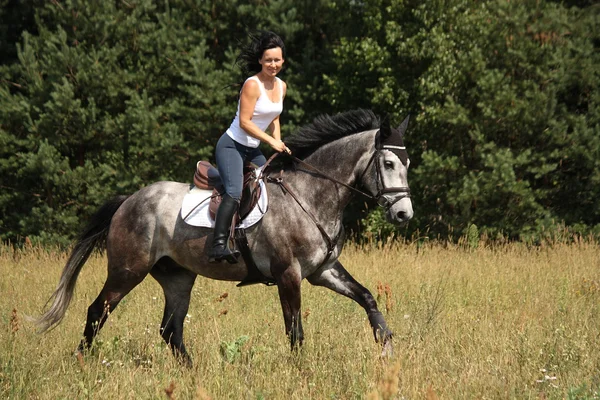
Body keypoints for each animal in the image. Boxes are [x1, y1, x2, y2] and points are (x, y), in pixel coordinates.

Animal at [37, 108, 412, 364]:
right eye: (389, 164)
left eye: (407, 164)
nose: (404, 214)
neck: (310, 195)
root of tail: (128, 200)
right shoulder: (288, 274)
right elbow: (294, 330)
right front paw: (300, 370)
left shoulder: (323, 271)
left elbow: (367, 298)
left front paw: (387, 347)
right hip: (127, 271)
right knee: (97, 311)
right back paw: (82, 362)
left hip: (177, 277)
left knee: (170, 329)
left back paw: (192, 373)